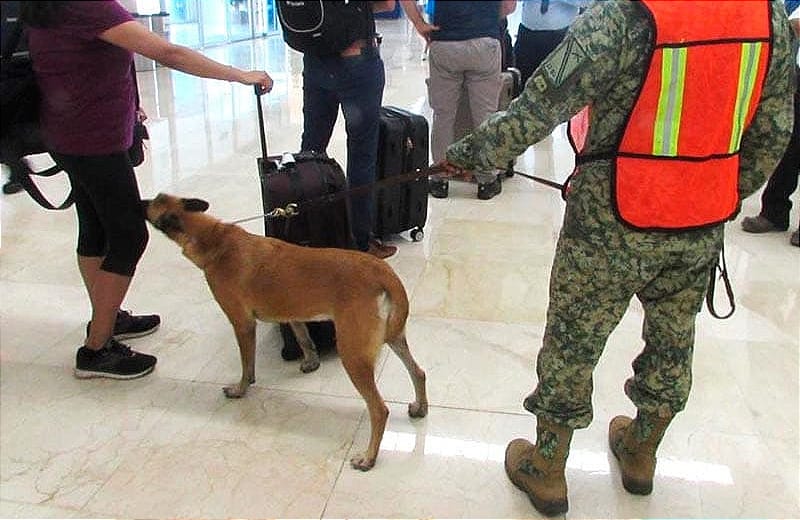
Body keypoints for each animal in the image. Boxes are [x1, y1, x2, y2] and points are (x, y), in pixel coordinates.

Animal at [144, 193, 432, 470]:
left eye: (153, 201)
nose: (140, 200)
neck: (214, 238)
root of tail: (383, 273)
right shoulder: (292, 314)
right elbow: (304, 339)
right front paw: (310, 361)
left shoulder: (242, 324)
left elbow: (247, 365)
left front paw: (241, 388)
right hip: (394, 338)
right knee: (418, 372)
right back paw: (420, 407)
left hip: (353, 354)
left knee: (379, 409)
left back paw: (368, 458)